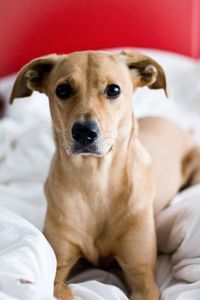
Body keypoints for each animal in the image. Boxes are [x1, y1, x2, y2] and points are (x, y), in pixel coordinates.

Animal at [10, 50, 200, 298]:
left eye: (114, 90)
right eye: (62, 90)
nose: (84, 132)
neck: (95, 180)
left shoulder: (142, 276)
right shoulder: (58, 267)